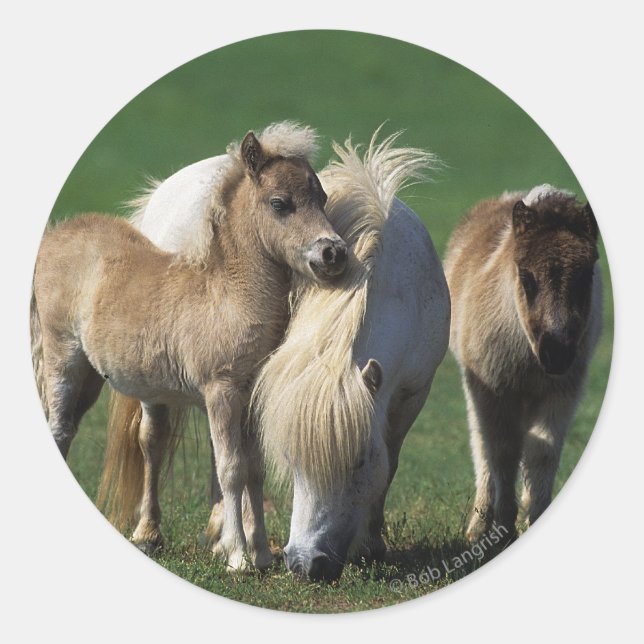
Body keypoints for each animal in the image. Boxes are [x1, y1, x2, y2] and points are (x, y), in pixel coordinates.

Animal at [30, 124, 347, 571]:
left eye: (321, 198)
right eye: (280, 204)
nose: (333, 252)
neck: (228, 297)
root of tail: (58, 233)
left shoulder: (250, 398)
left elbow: (254, 470)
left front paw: (263, 555)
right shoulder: (221, 392)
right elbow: (231, 469)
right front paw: (237, 557)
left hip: (94, 377)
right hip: (64, 359)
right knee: (59, 427)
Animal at [127, 126, 451, 581]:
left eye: (358, 463)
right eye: (295, 460)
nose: (306, 563)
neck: (390, 287)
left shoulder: (412, 394)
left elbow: (390, 463)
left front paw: (371, 543)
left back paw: (219, 530)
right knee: (153, 440)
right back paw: (150, 533)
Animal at [444, 184, 602, 543]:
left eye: (586, 276)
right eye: (527, 278)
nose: (557, 353)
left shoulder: (562, 392)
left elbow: (542, 452)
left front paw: (534, 518)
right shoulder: (494, 389)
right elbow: (503, 451)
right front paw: (502, 529)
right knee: (482, 446)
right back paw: (478, 526)